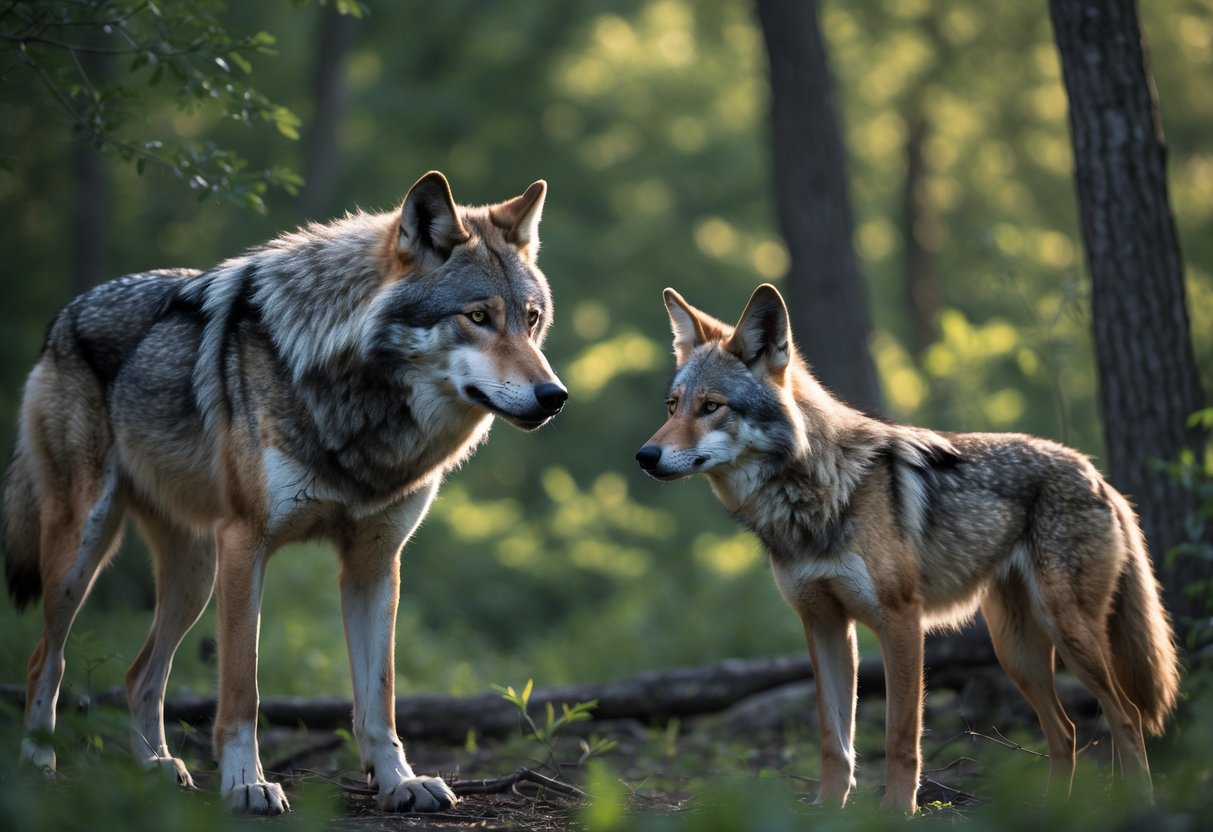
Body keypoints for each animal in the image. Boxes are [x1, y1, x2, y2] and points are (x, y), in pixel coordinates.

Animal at [3, 171, 567, 814]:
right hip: (88, 550)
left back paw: (156, 766)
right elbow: (242, 691)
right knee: (44, 659)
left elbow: (380, 698)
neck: (358, 402)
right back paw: (39, 763)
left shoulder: (375, 564)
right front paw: (246, 785)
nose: (554, 395)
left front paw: (399, 781)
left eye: (531, 319)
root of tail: (64, 316)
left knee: (137, 674)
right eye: (477, 316)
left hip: (194, 575)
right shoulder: (245, 544)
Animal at [636, 283, 1180, 813]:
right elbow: (834, 740)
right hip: (1016, 651)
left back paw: (1141, 805)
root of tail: (1095, 474)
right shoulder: (823, 623)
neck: (815, 496)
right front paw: (827, 809)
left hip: (1067, 633)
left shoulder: (901, 620)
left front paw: (897, 811)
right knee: (1065, 733)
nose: (645, 456)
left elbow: (900, 736)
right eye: (673, 406)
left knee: (1127, 717)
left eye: (712, 406)